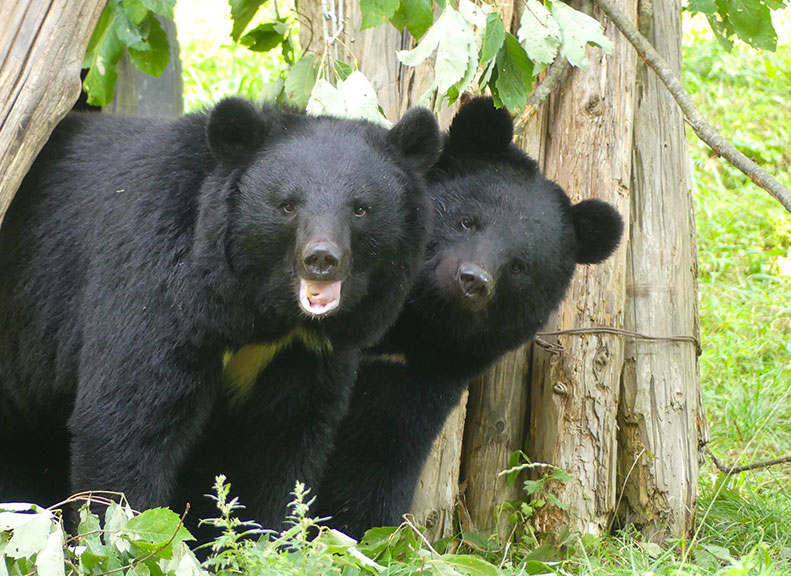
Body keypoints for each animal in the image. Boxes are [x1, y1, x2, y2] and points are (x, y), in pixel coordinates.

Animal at [0, 97, 440, 516]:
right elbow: (126, 420)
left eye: (361, 208)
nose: (321, 258)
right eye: (287, 205)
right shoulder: (157, 288)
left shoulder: (307, 353)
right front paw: (126, 529)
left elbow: (283, 443)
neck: (264, 309)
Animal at [316, 97, 624, 536]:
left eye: (519, 265)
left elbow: (374, 463)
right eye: (467, 221)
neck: (409, 324)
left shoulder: (420, 375)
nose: (472, 280)